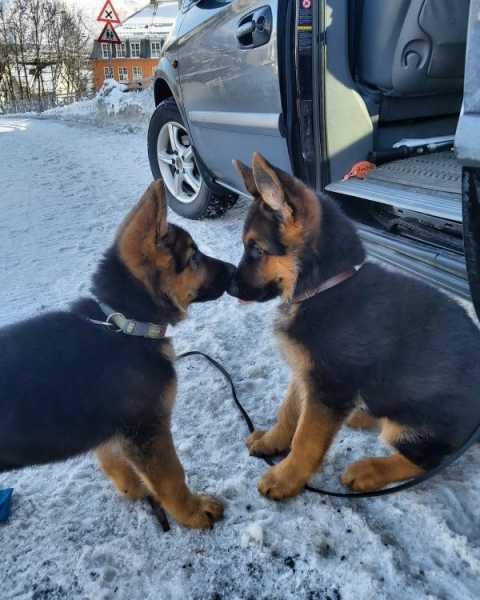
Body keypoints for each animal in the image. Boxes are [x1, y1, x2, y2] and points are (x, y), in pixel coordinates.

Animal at [230, 154, 480, 496]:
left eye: (256, 249)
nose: (228, 287)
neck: (325, 287)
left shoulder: (328, 387)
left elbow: (306, 438)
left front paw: (285, 477)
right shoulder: (306, 374)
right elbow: (289, 411)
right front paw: (272, 440)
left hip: (419, 424)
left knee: (427, 459)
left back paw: (368, 469)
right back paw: (362, 415)